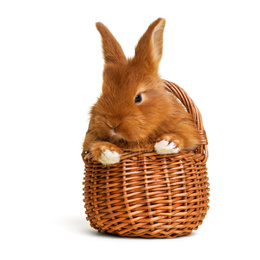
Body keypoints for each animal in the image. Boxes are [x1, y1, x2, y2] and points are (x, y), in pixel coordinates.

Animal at [82, 17, 200, 165]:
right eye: (103, 93)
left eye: (138, 98)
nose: (112, 124)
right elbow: (94, 144)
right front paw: (107, 153)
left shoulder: (186, 128)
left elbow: (183, 137)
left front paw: (167, 144)